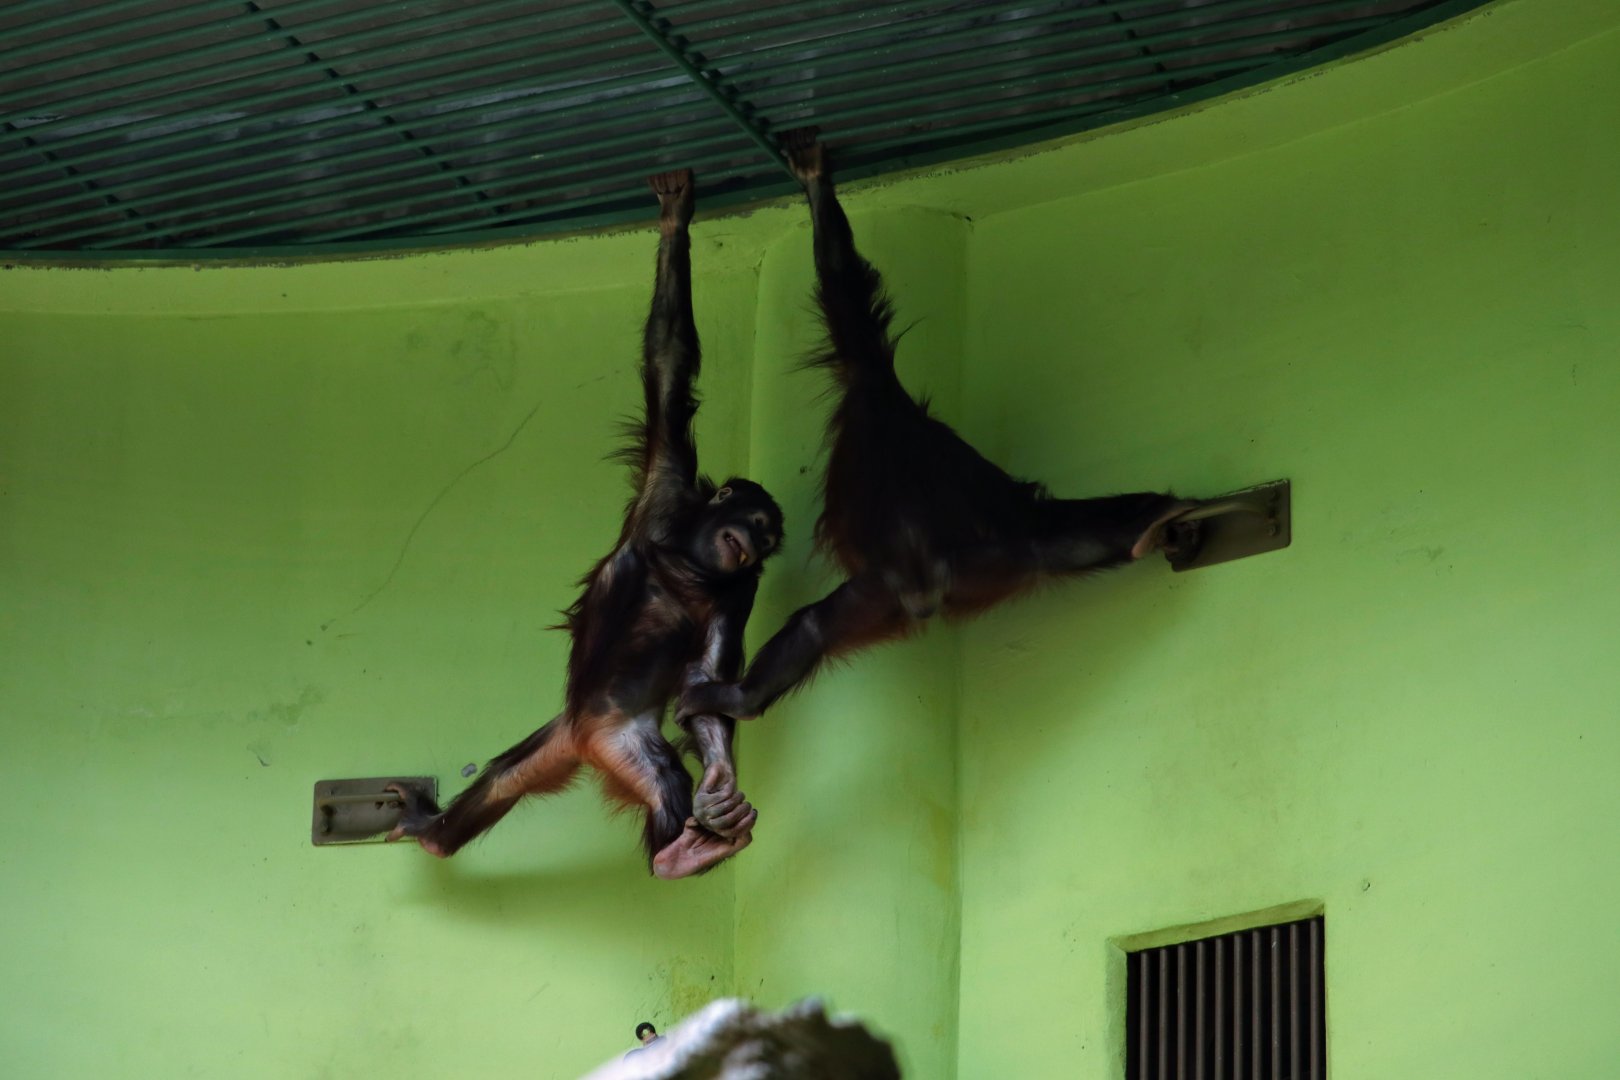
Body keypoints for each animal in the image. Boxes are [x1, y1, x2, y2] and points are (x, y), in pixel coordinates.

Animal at [388, 169, 784, 879]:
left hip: (619, 739)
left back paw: (683, 852)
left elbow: (707, 679)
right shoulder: (668, 479)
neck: (690, 557)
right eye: (758, 522)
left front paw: (722, 778)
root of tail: (586, 740)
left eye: (769, 540)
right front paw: (675, 217)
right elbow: (668, 364)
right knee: (510, 776)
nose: (753, 543)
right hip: (581, 731)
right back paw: (440, 831)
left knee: (617, 776)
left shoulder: (743, 588)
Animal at [679, 130, 1206, 725]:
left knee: (813, 625)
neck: (884, 391)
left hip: (879, 591)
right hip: (976, 568)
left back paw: (738, 698)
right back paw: (1154, 522)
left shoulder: (860, 356)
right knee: (1048, 547)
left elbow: (838, 276)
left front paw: (815, 183)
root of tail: (925, 583)